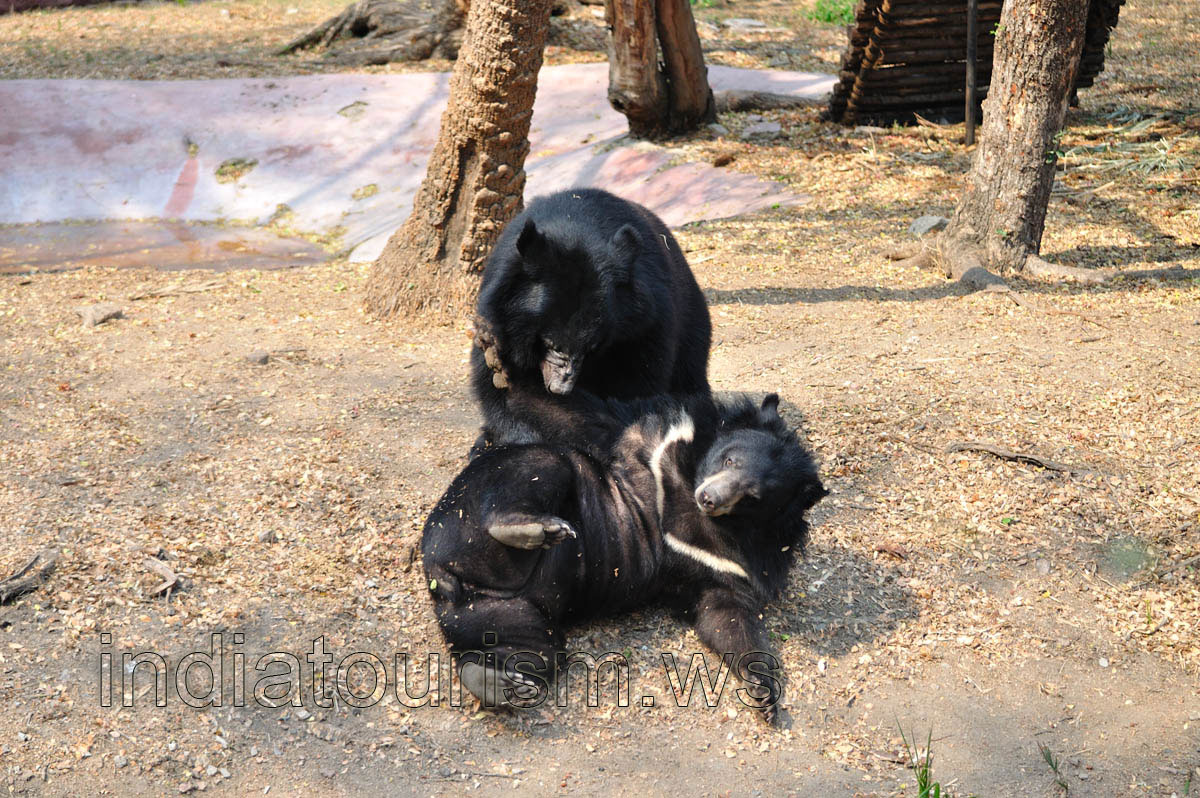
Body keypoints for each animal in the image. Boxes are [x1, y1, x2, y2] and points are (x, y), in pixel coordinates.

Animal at [421, 384, 826, 724]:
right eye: (730, 460)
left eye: (753, 496)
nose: (709, 498)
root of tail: (441, 572)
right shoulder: (648, 436)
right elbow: (573, 417)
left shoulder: (725, 564)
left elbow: (724, 614)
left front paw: (763, 694)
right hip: (475, 502)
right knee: (542, 466)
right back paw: (535, 529)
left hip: (491, 611)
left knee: (530, 650)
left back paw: (501, 684)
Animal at [469, 188, 712, 452]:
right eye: (550, 343)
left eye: (591, 347)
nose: (560, 388)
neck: (574, 225)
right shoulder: (497, 318)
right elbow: (492, 381)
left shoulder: (643, 329)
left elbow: (637, 385)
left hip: (691, 327)